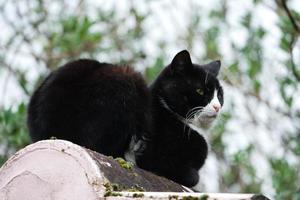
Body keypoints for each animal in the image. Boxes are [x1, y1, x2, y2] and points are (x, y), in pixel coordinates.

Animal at [27, 50, 223, 189]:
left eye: (219, 94)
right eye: (200, 91)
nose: (217, 107)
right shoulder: (156, 157)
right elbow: (191, 175)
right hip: (126, 78)